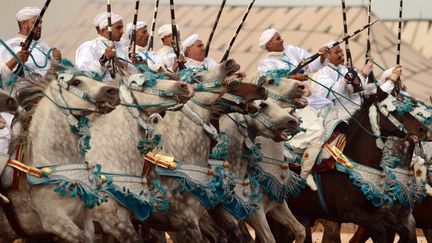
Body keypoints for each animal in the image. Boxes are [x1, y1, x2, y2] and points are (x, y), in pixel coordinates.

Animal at [272, 89, 430, 243]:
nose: (423, 130)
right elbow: (379, 231)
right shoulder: (351, 212)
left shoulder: (386, 215)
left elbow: (407, 233)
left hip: (302, 215)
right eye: (396, 110)